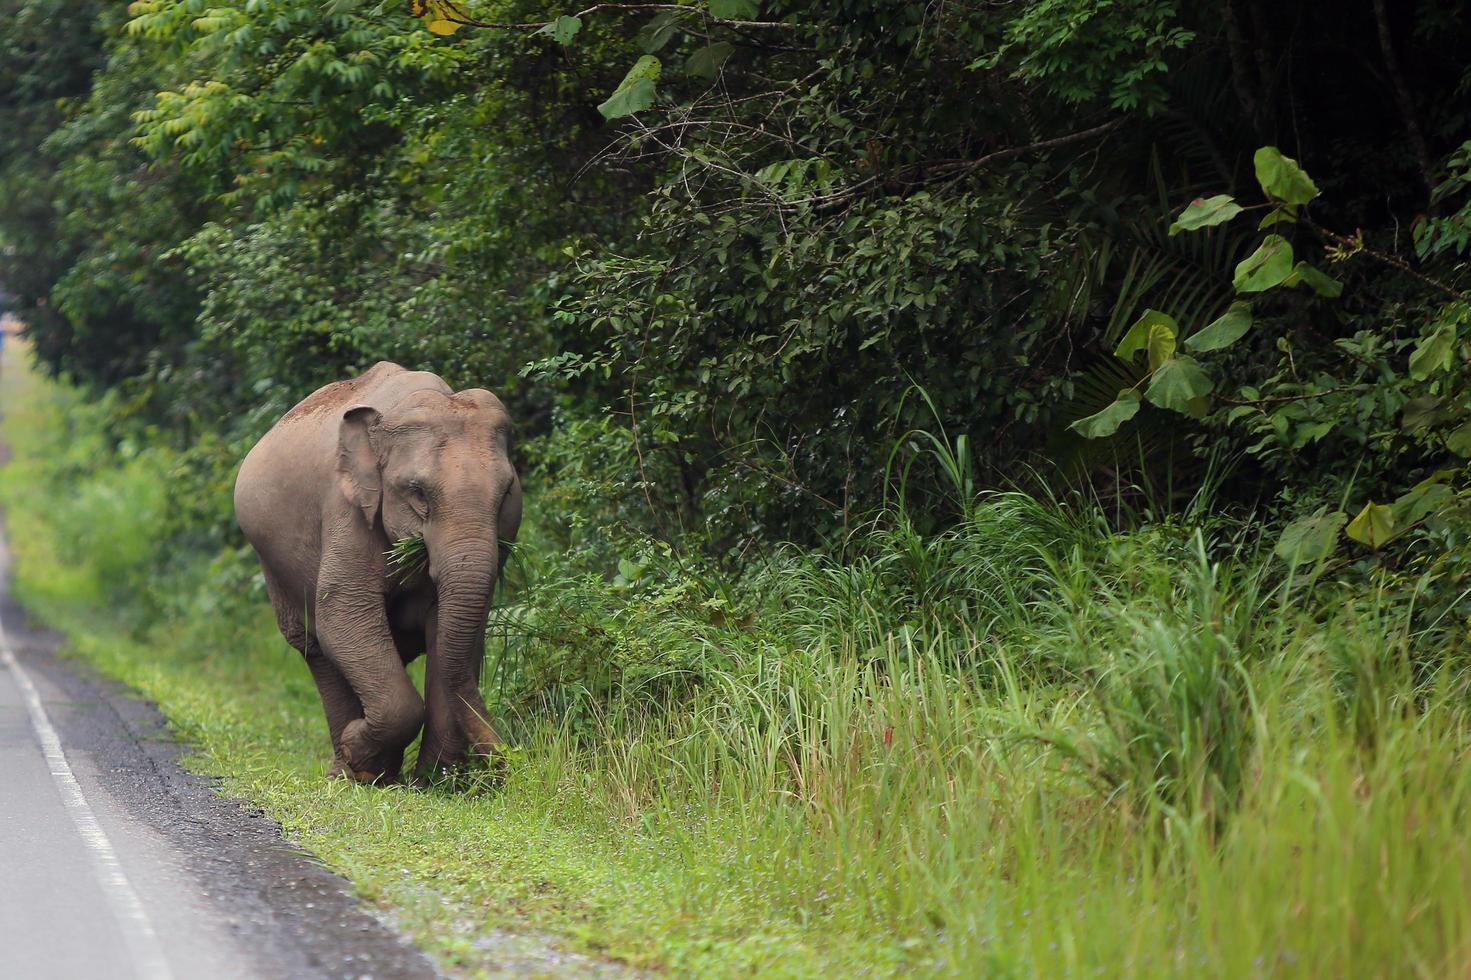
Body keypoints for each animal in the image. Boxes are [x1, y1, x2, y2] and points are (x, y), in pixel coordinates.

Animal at [235, 359, 523, 776]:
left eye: (506, 494)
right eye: (418, 492)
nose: (512, 766)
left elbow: (453, 632)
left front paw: (432, 781)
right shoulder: (347, 511)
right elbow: (344, 615)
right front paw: (357, 748)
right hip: (274, 565)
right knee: (316, 645)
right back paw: (354, 772)